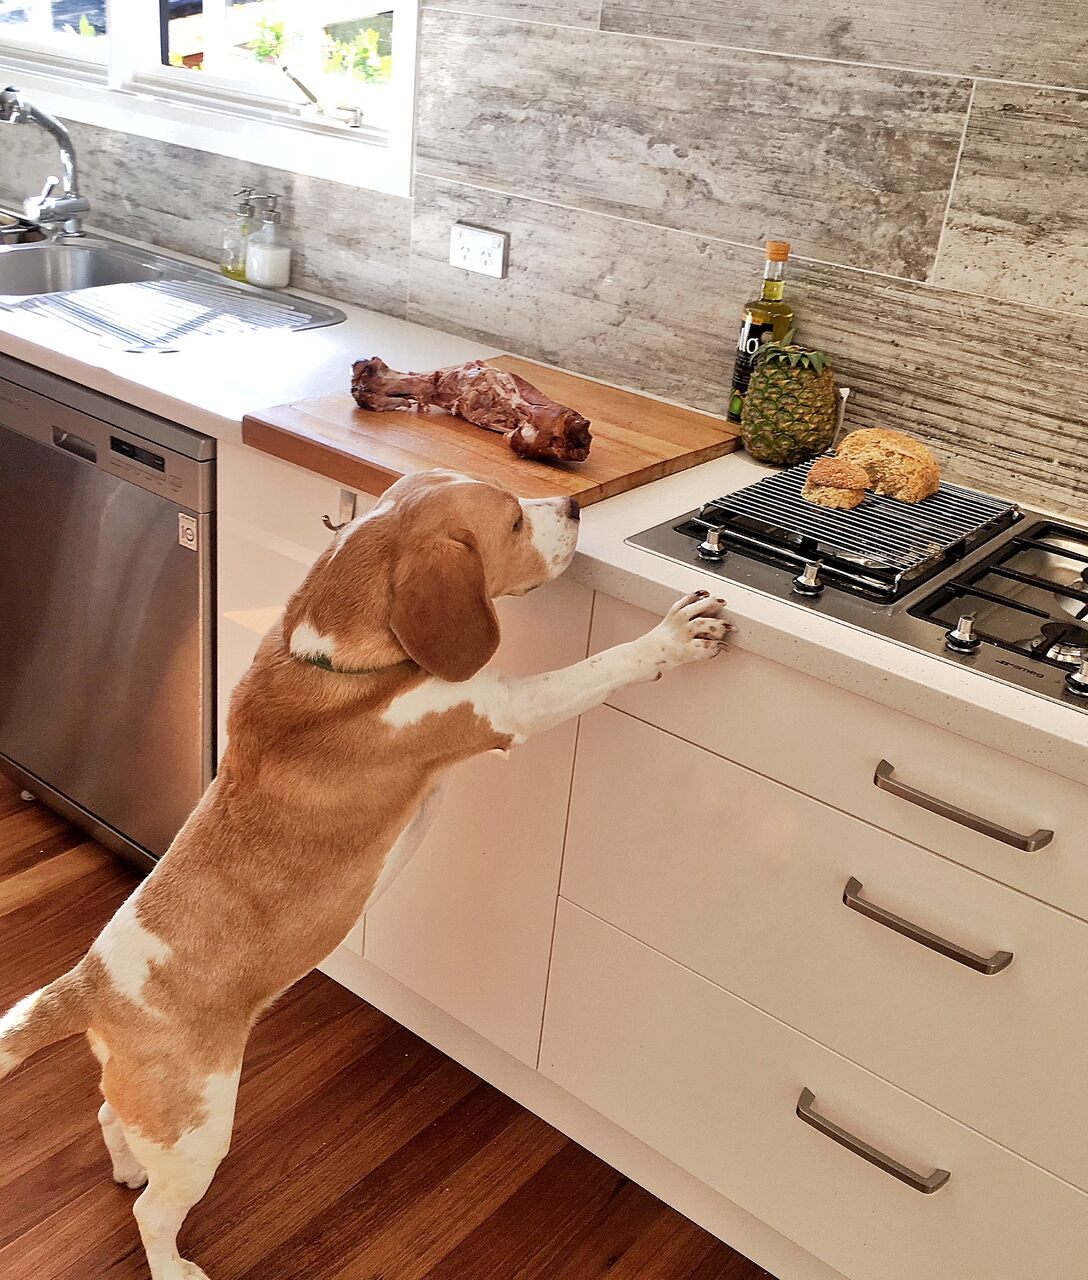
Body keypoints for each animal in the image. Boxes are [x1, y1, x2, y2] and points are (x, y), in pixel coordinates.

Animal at [2, 471, 727, 1280]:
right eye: (513, 520)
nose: (573, 506)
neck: (337, 660)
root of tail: (90, 986)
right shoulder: (505, 705)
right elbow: (599, 667)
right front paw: (672, 638)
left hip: (154, 1112)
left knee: (108, 1116)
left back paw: (127, 1166)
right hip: (200, 1130)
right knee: (154, 1213)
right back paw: (172, 1263)